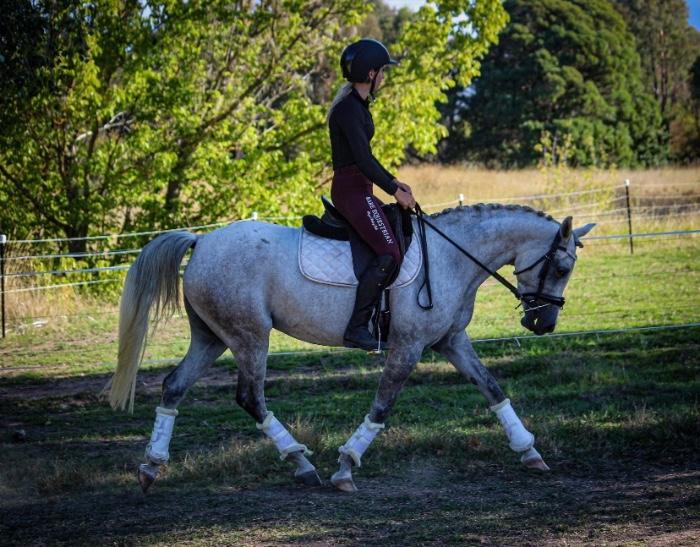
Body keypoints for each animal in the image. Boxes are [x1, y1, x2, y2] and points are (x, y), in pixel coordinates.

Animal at [107, 203, 595, 493]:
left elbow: (493, 389)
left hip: (212, 338)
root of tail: (202, 239)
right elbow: (382, 405)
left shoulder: (451, 342)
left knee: (174, 386)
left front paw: (529, 451)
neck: (451, 256)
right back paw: (300, 461)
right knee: (250, 396)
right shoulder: (409, 345)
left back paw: (152, 466)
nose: (543, 324)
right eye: (562, 267)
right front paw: (346, 464)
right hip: (249, 336)